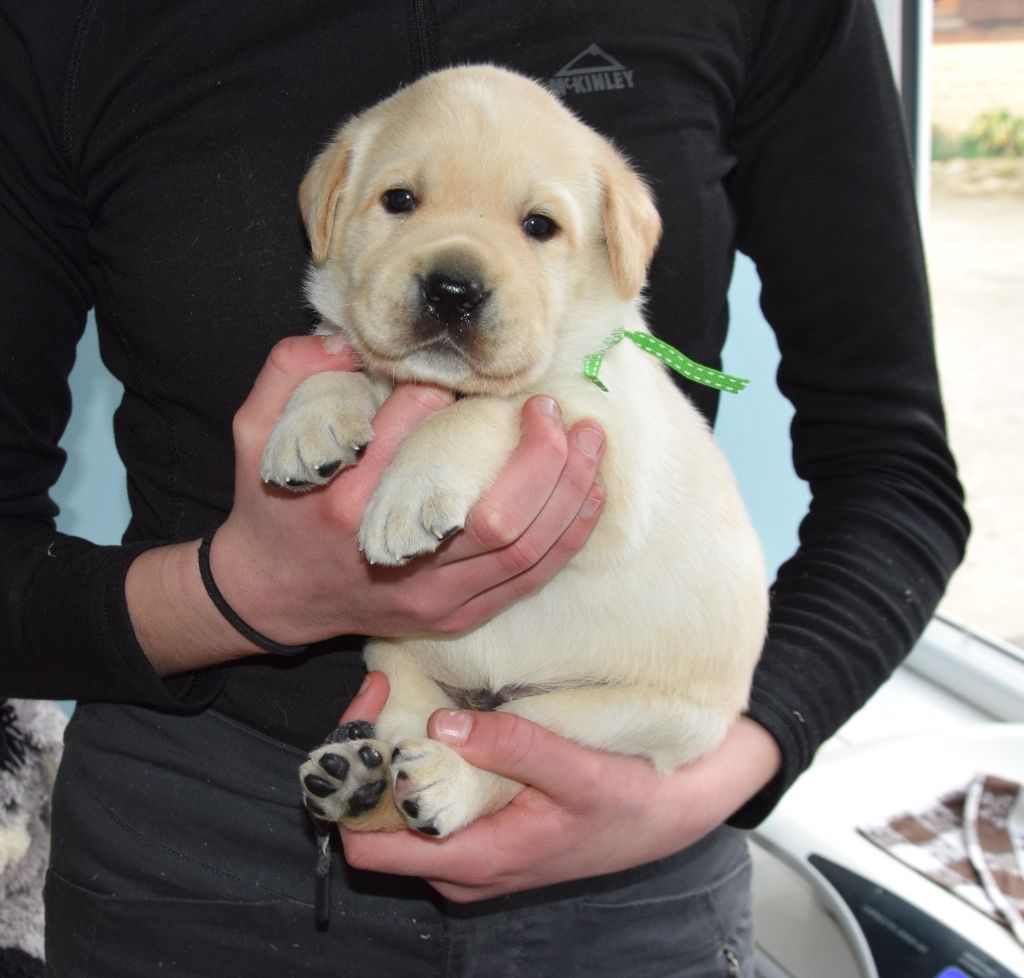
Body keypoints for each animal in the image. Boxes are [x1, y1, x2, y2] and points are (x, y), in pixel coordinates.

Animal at [266, 62, 770, 839]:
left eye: (539, 226)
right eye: (399, 200)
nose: (452, 290)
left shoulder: (608, 449)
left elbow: (492, 410)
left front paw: (409, 494)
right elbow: (345, 365)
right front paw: (309, 421)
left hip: (616, 717)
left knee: (510, 751)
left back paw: (445, 778)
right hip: (394, 655)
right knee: (409, 722)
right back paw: (358, 780)